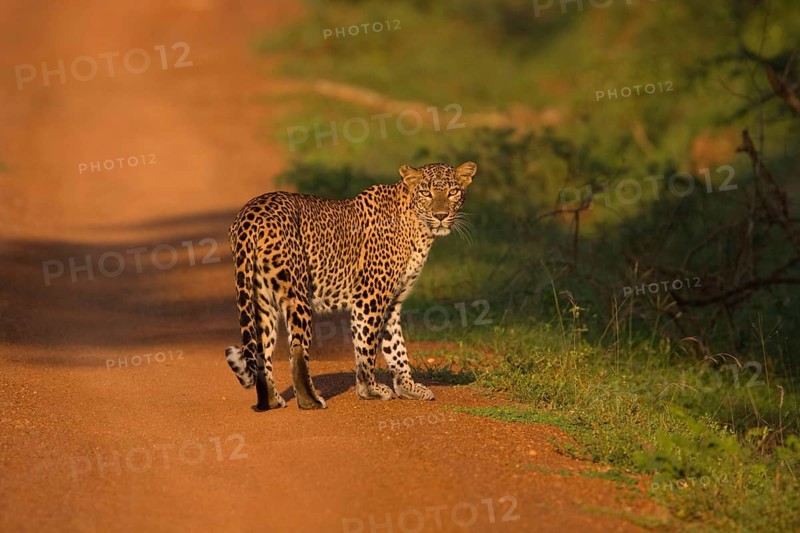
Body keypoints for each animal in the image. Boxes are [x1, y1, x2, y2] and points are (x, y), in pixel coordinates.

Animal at [224, 161, 477, 410]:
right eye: (426, 193)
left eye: (453, 192)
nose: (441, 215)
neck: (419, 228)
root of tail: (251, 213)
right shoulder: (370, 299)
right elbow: (366, 347)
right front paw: (369, 390)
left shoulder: (393, 303)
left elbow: (396, 347)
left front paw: (408, 388)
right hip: (296, 294)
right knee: (297, 350)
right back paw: (311, 401)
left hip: (260, 298)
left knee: (262, 352)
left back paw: (271, 401)